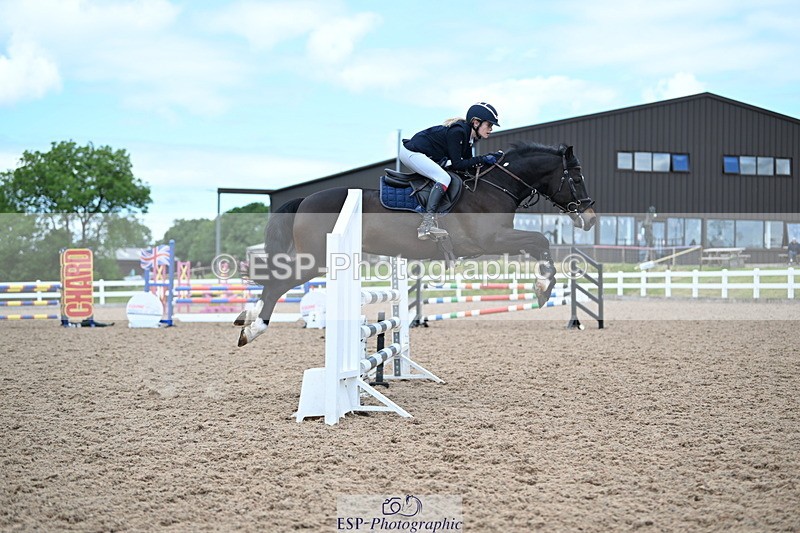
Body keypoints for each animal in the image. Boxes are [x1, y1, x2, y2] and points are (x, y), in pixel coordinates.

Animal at [235, 142, 597, 347]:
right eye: (577, 177)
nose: (590, 218)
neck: (495, 186)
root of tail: (306, 198)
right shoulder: (490, 239)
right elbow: (540, 240)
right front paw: (543, 289)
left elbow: (539, 243)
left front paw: (543, 287)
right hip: (317, 258)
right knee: (279, 282)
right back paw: (253, 328)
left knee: (275, 280)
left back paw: (245, 316)